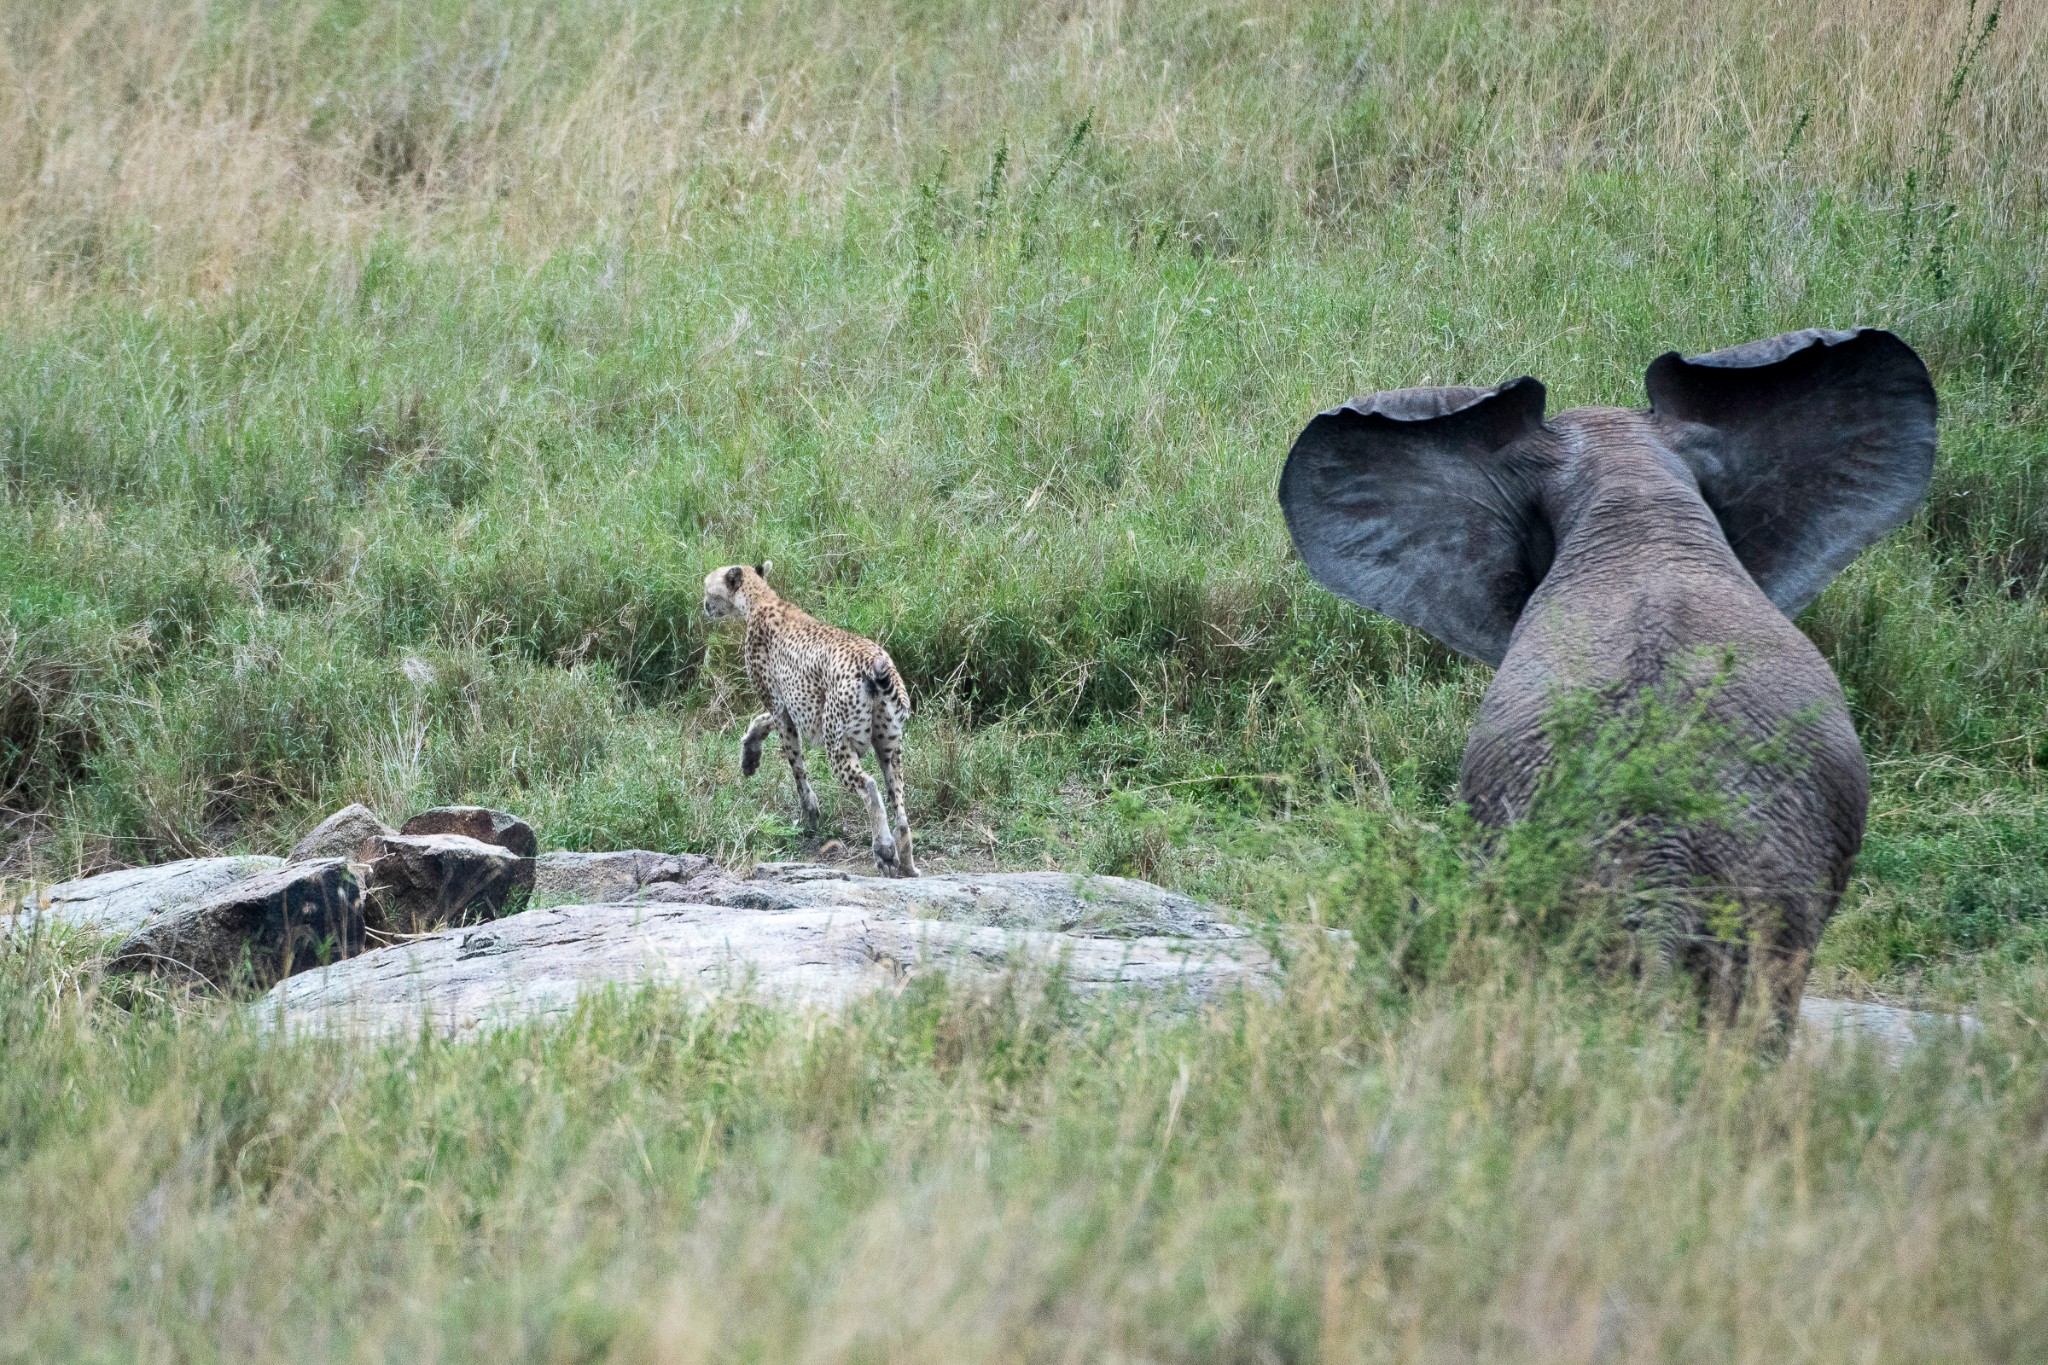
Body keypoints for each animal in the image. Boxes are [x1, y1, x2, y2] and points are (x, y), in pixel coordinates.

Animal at [704, 564, 921, 875]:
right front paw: (750, 756)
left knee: (869, 786)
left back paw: (884, 850)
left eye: (708, 587)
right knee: (899, 803)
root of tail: (874, 659)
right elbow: (762, 721)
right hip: (889, 745)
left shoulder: (780, 706)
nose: (705, 605)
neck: (760, 599)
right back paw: (906, 863)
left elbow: (796, 766)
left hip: (838, 744)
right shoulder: (789, 707)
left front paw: (810, 815)